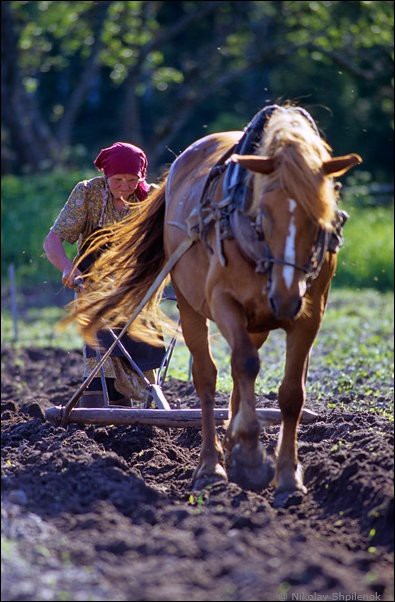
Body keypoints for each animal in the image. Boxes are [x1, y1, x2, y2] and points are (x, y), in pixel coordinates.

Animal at [71, 104, 362, 496]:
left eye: (321, 215)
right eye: (262, 213)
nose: (286, 297)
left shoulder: (310, 314)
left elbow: (291, 393)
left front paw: (287, 476)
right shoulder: (223, 301)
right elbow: (242, 365)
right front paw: (250, 459)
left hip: (258, 322)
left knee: (240, 374)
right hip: (191, 306)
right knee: (208, 376)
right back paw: (211, 466)